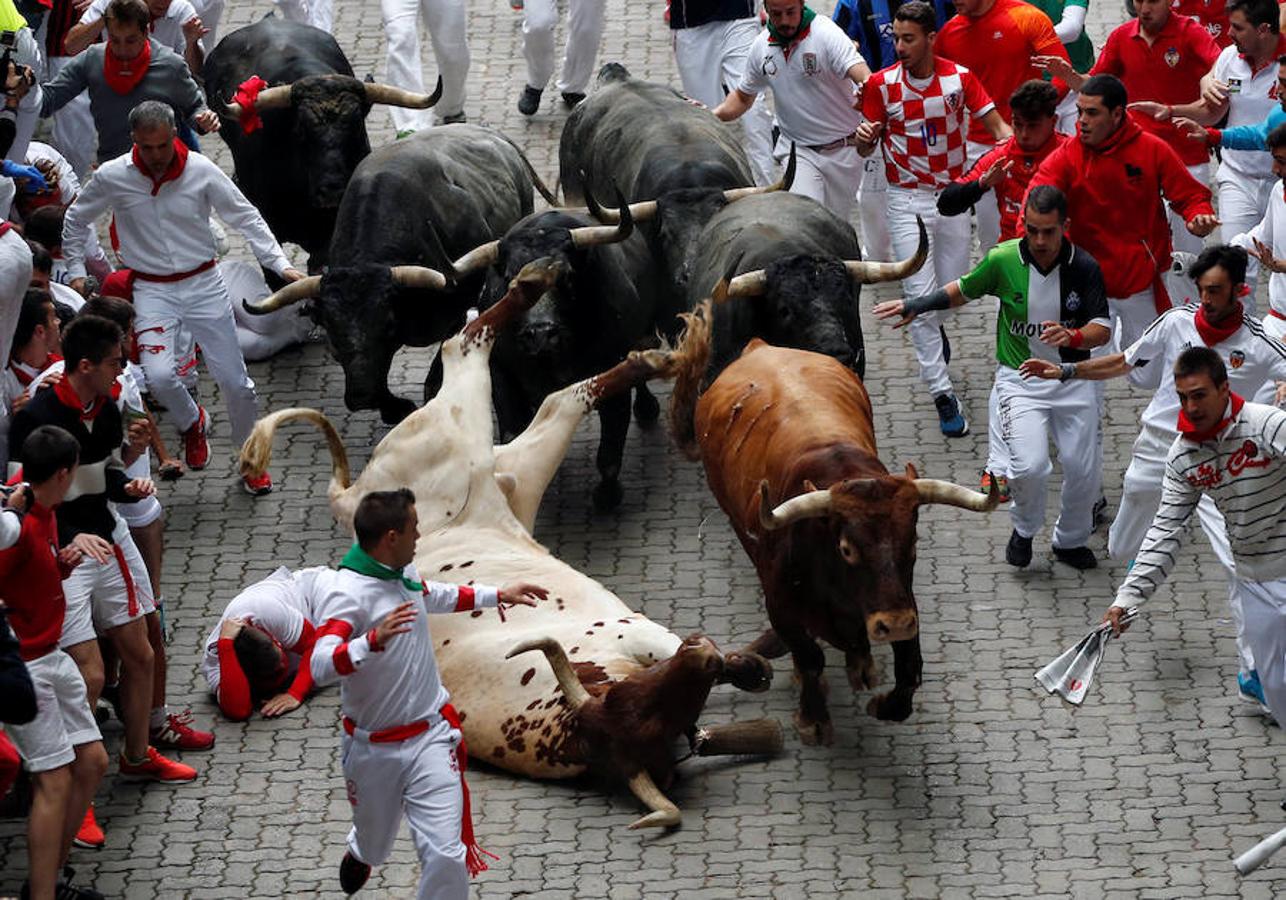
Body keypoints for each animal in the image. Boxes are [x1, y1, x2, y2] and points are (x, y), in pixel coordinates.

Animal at [241, 263, 781, 833]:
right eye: (640, 706)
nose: (702, 654)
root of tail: (350, 498)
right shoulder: (627, 631)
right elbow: (680, 648)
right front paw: (746, 666)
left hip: (495, 458)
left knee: (485, 352)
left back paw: (555, 290)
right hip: (478, 439)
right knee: (505, 369)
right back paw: (638, 345)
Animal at [245, 124, 558, 424]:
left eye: (387, 325)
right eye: (330, 330)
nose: (360, 395)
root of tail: (493, 135)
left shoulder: (457, 306)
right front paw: (394, 408)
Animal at [668, 302, 997, 745]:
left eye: (912, 543)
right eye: (846, 549)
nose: (893, 625)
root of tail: (760, 347)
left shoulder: (901, 602)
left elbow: (910, 669)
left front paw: (884, 701)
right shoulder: (782, 606)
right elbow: (809, 657)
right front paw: (813, 717)